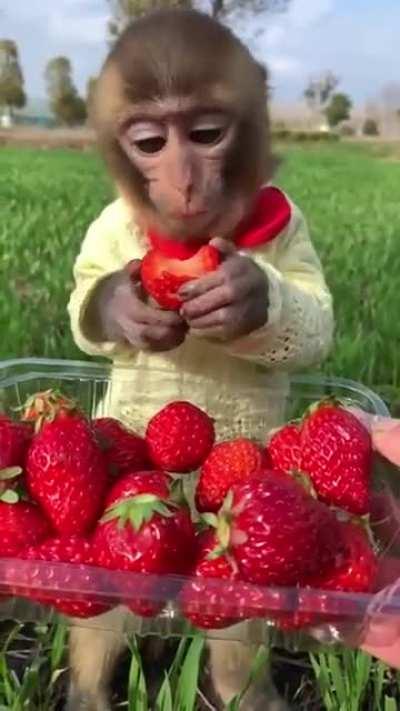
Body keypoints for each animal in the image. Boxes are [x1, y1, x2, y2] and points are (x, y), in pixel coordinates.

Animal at [66, 6, 334, 711]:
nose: (183, 180)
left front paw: (247, 295)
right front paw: (120, 305)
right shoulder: (112, 227)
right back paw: (91, 690)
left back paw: (246, 691)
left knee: (235, 619)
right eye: (149, 143)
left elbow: (315, 315)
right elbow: (84, 295)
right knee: (104, 609)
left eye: (207, 134)